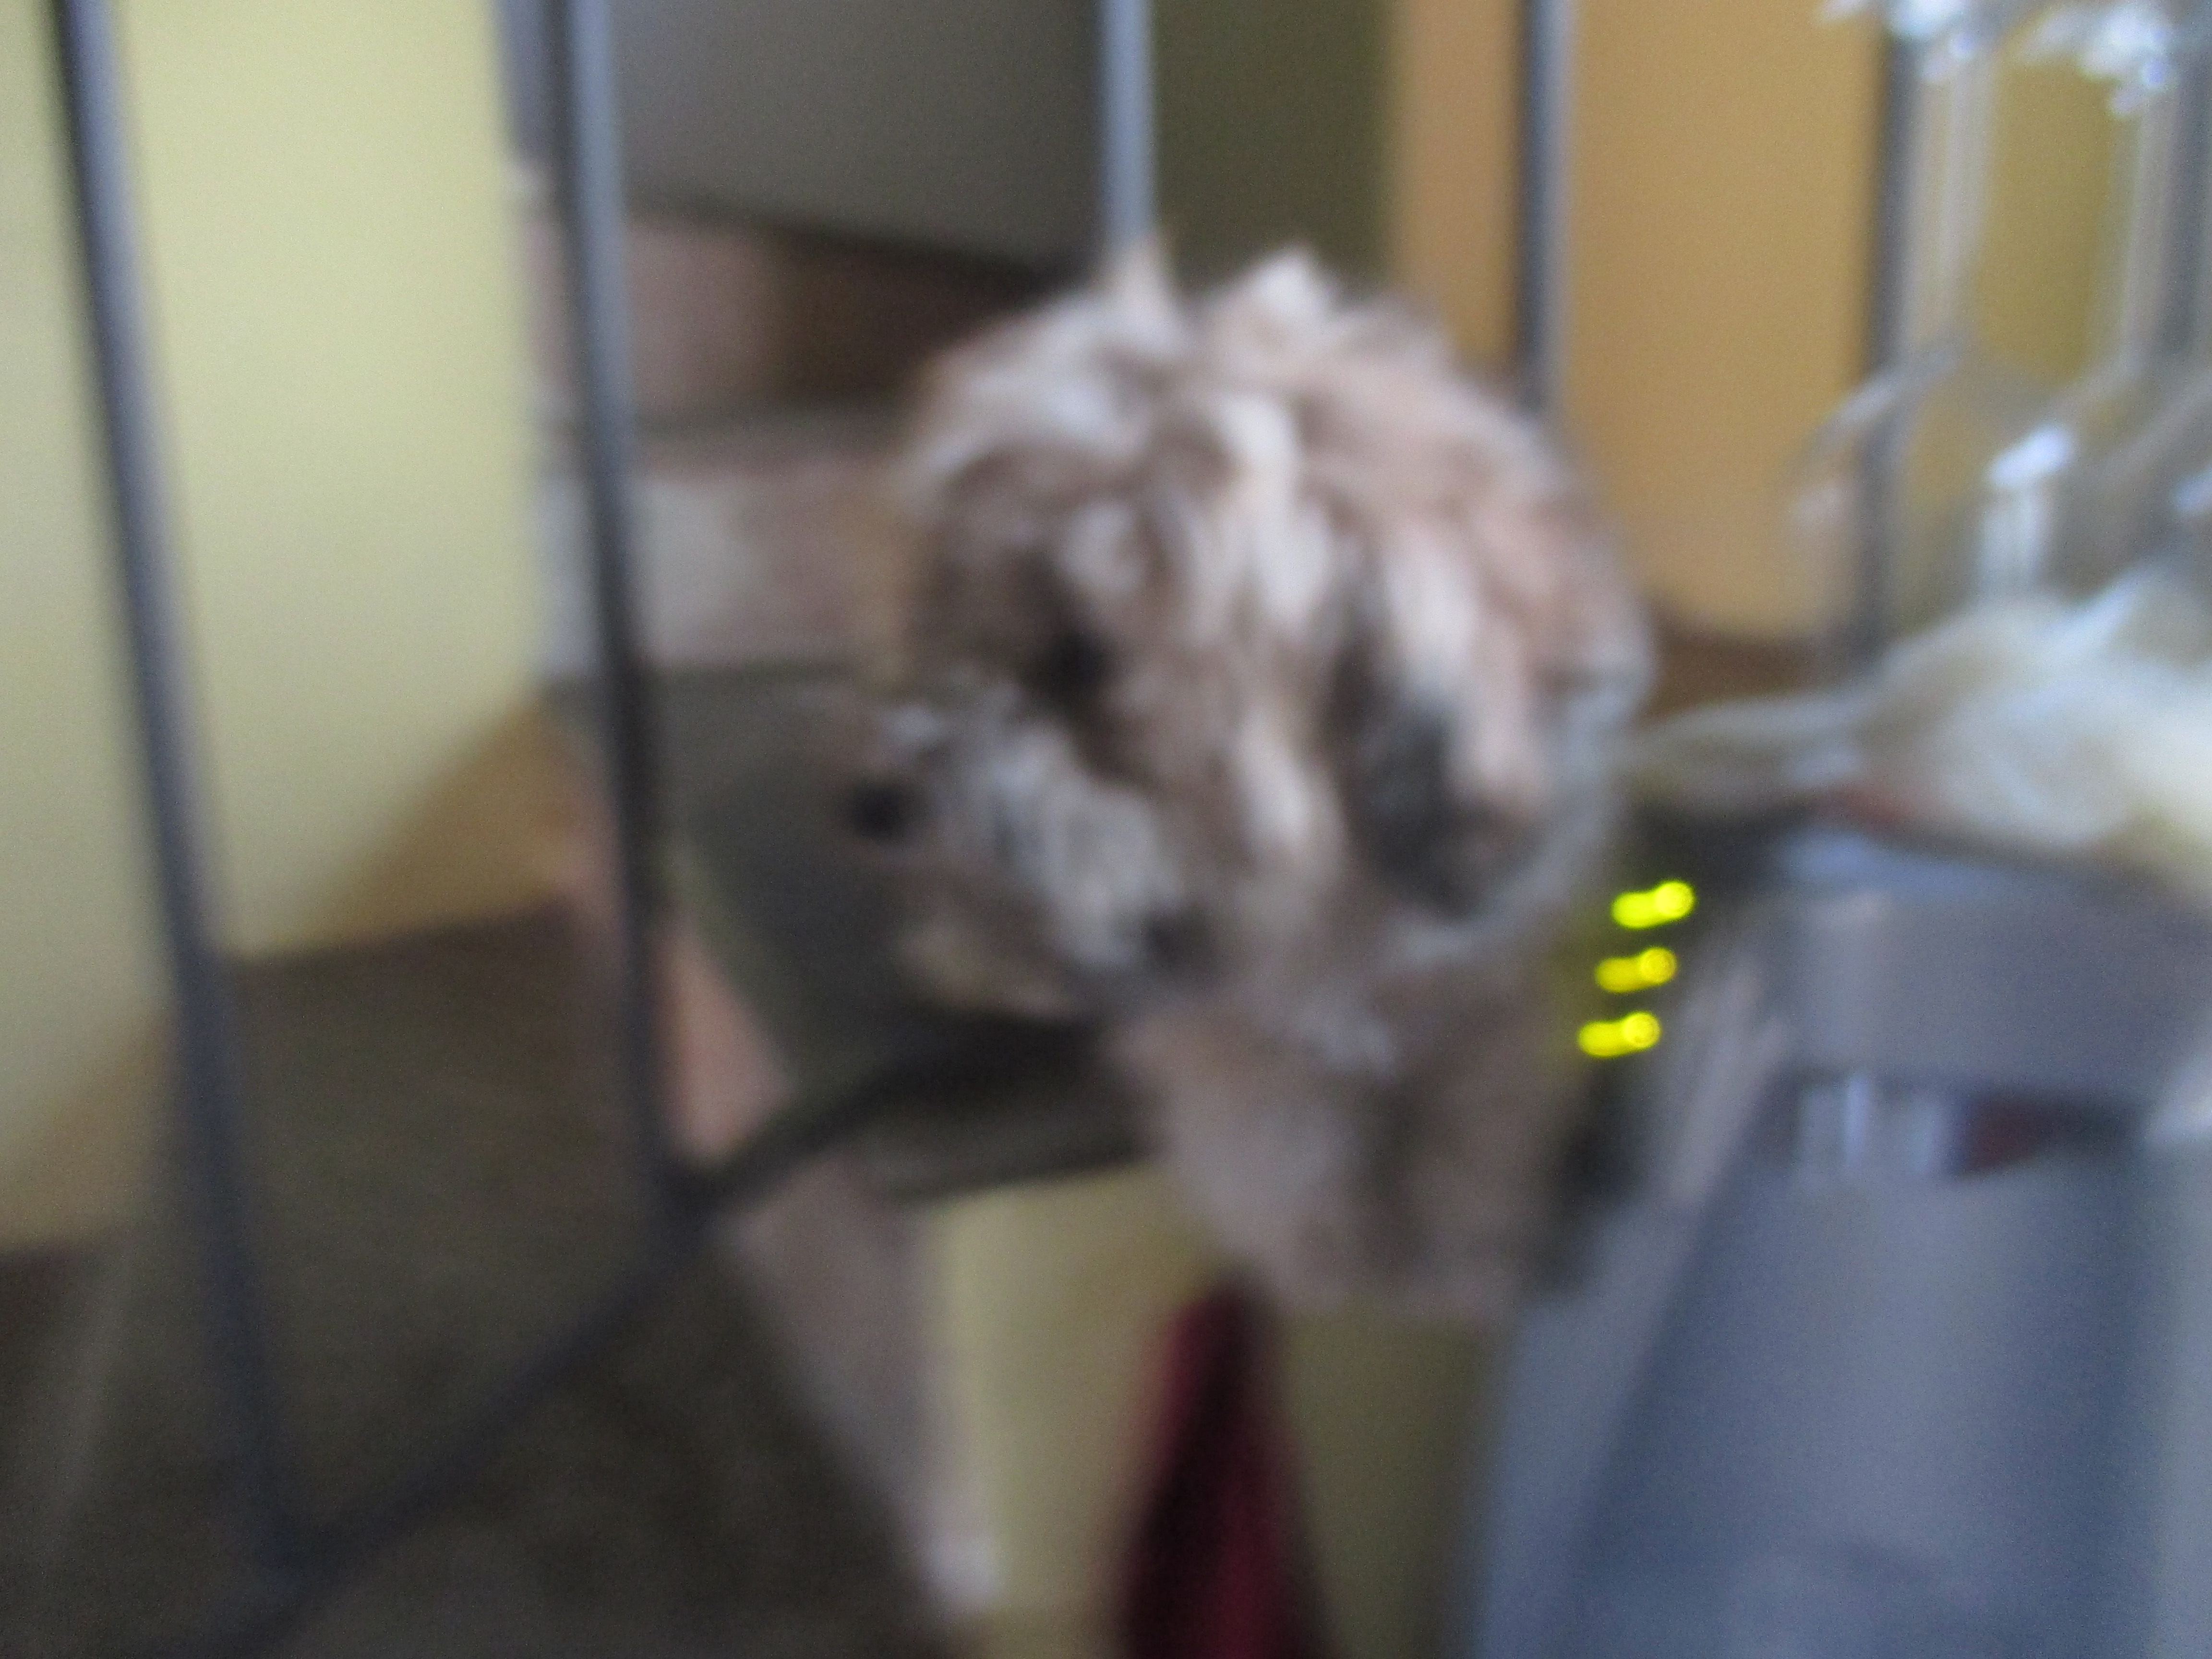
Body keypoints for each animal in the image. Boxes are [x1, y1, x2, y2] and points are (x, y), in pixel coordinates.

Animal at [853, 247, 1651, 1318]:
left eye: (1081, 656)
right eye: (940, 627)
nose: (867, 801)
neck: (1349, 903)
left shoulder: (1490, 967)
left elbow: (1483, 1102)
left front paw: (1473, 1240)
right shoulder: (1222, 1021)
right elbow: (1281, 1133)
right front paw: (1331, 1251)